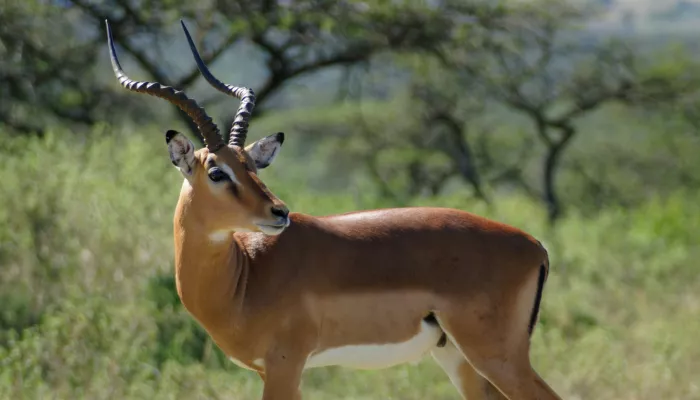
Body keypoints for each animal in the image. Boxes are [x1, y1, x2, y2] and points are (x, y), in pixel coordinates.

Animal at [105, 19, 564, 400]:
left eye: (252, 164)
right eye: (218, 172)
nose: (280, 212)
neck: (245, 275)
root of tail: (536, 246)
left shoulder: (285, 365)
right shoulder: (272, 370)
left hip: (497, 355)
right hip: (458, 357)